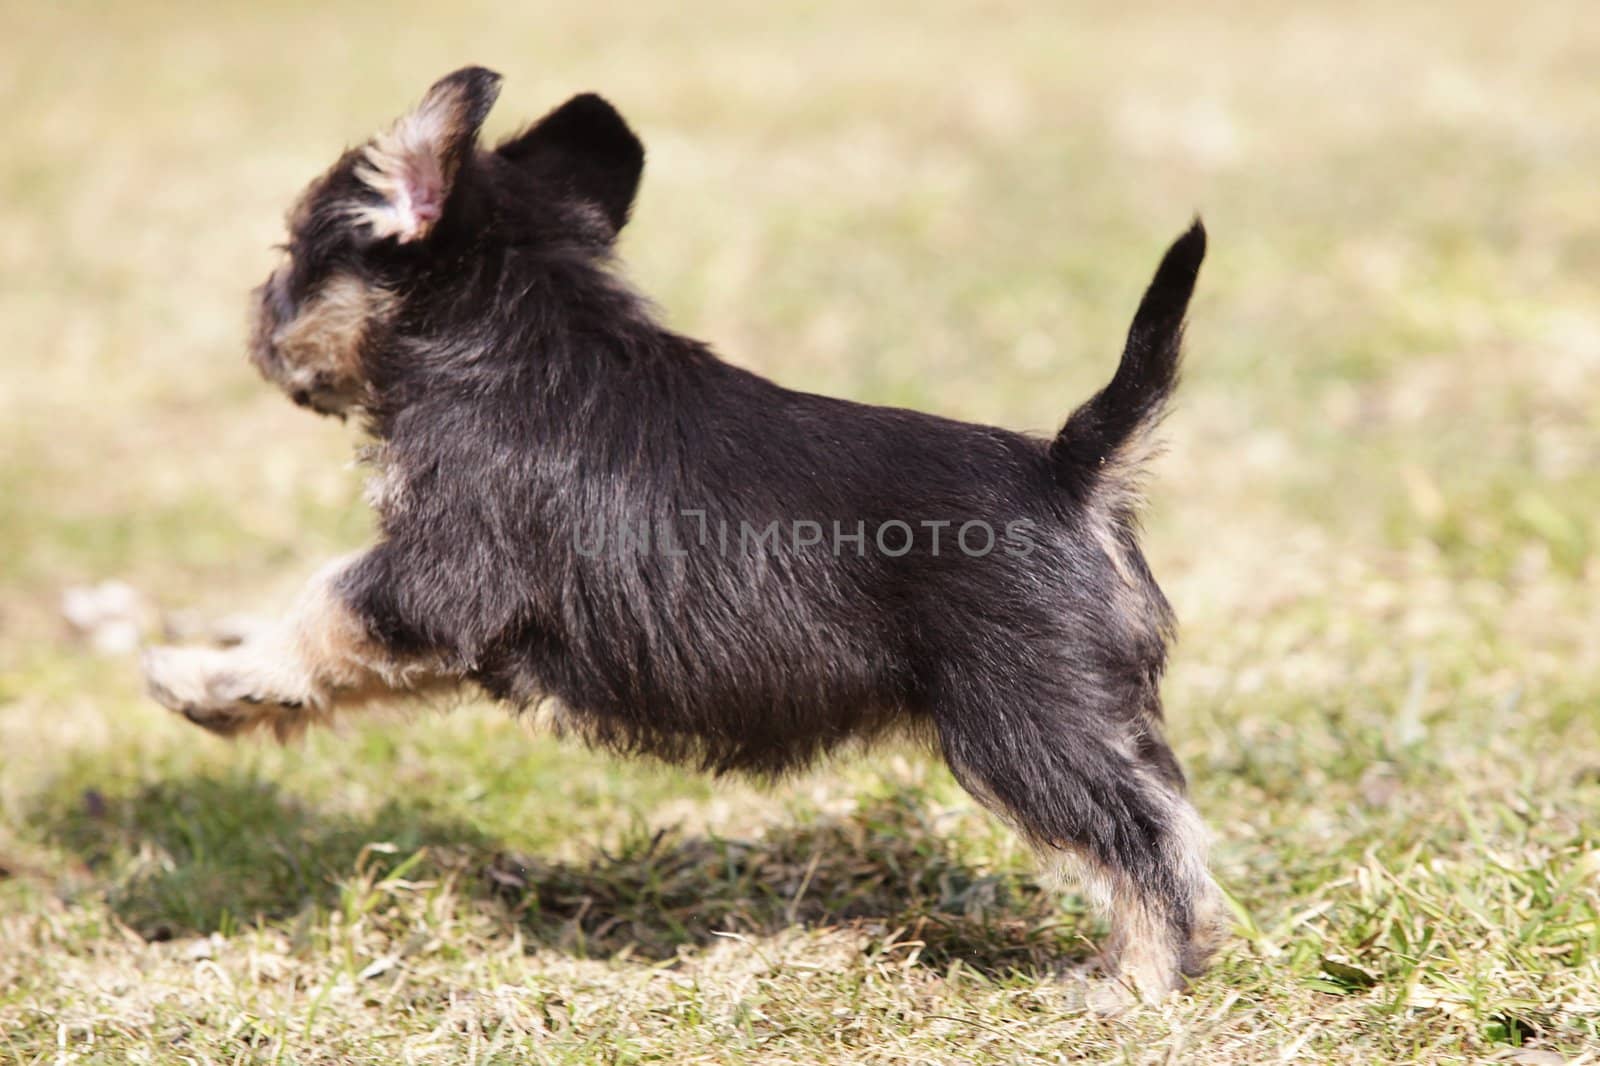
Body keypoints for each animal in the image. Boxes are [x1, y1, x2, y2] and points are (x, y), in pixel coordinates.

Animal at [147, 64, 1222, 998]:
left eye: (291, 254)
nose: (256, 319)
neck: (510, 338)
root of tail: (1070, 467)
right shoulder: (444, 632)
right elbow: (335, 666)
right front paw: (238, 698)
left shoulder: (432, 582)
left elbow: (318, 605)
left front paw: (201, 671)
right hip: (1099, 712)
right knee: (1169, 813)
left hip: (1024, 726)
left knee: (1142, 840)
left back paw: (1134, 983)